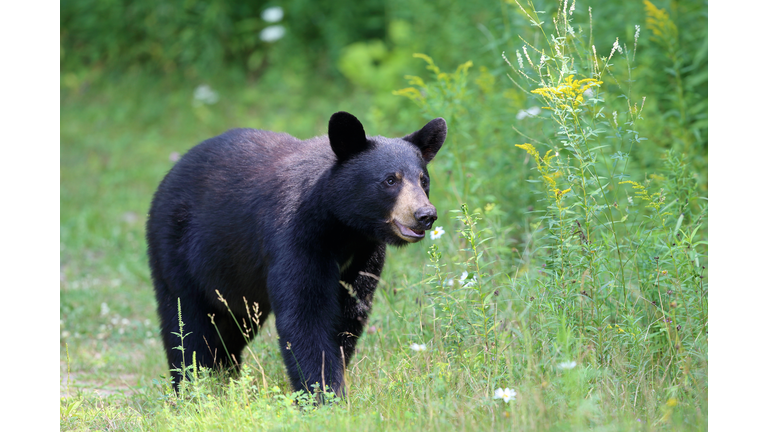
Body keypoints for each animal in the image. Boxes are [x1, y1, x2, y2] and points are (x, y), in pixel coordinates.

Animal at [146, 111, 447, 395]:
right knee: (187, 326)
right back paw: (192, 387)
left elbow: (350, 312)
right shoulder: (297, 237)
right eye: (390, 180)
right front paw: (324, 394)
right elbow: (305, 314)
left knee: (232, 327)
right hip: (177, 251)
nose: (425, 215)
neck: (342, 227)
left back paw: (227, 378)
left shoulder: (365, 252)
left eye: (424, 180)